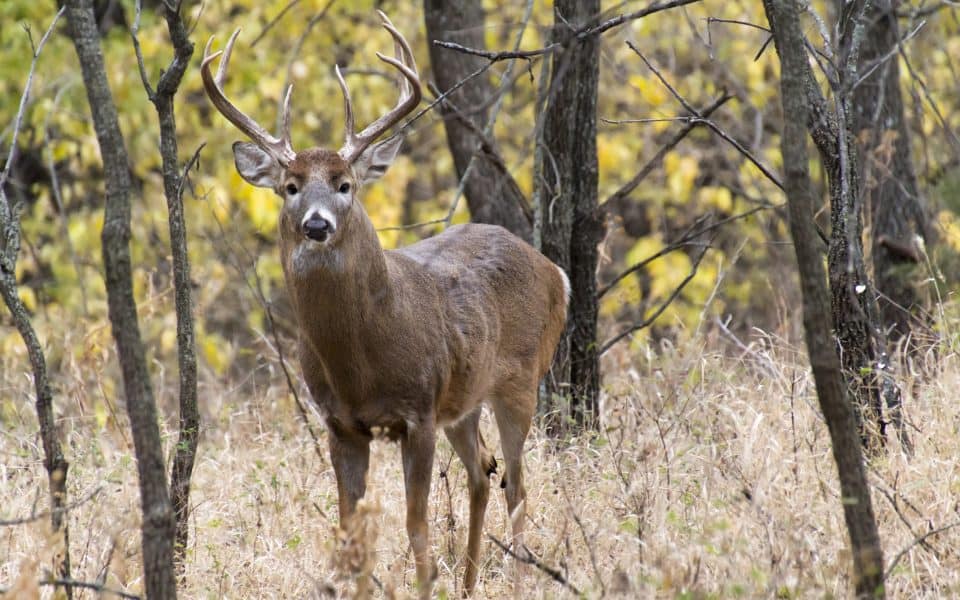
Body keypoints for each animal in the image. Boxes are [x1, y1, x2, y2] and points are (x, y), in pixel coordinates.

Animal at [199, 11, 568, 596]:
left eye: (345, 184)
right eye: (290, 186)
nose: (317, 225)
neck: (361, 361)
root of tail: (555, 271)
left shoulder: (417, 412)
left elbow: (417, 531)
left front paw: (426, 583)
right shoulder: (341, 424)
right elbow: (349, 536)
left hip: (522, 381)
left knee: (517, 483)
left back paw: (515, 579)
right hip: (463, 398)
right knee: (482, 472)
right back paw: (470, 582)